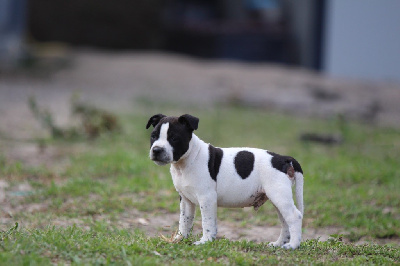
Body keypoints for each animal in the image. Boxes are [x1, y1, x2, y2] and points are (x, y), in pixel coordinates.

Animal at [146, 114, 304, 249]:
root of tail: (284, 159)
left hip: (279, 195)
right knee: (285, 221)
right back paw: (278, 244)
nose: (157, 150)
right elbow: (184, 221)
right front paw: (179, 239)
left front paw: (205, 241)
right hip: (278, 198)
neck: (186, 162)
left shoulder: (207, 198)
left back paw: (293, 245)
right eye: (153, 136)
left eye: (174, 138)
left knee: (294, 216)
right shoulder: (186, 200)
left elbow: (207, 221)